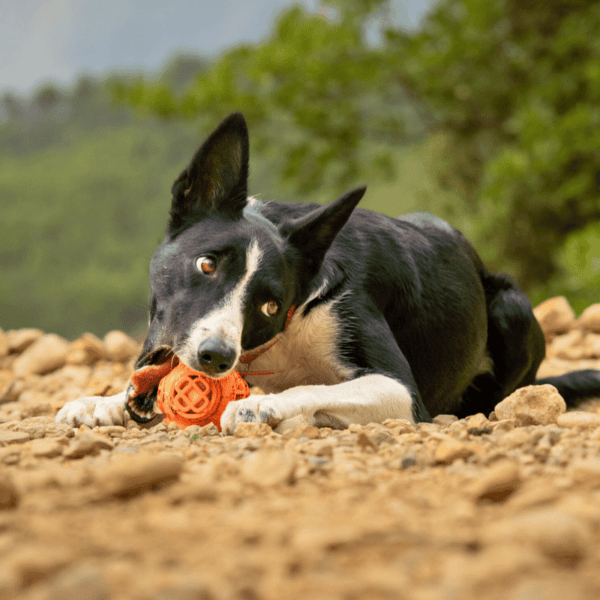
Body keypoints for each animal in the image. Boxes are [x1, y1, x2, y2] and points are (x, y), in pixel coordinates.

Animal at [55, 113, 600, 432]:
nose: (216, 357)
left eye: (270, 304)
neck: (281, 339)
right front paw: (101, 401)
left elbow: (312, 388)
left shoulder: (402, 392)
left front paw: (259, 405)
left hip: (511, 307)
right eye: (206, 264)